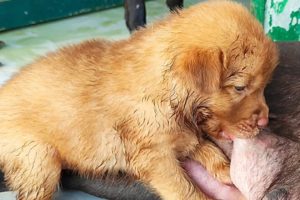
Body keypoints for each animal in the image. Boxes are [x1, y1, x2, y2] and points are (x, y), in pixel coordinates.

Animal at [0, 1, 276, 200]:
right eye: (240, 87)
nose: (265, 121)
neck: (167, 90)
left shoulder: (182, 136)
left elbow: (207, 149)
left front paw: (227, 171)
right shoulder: (154, 157)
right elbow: (186, 190)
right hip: (38, 159)